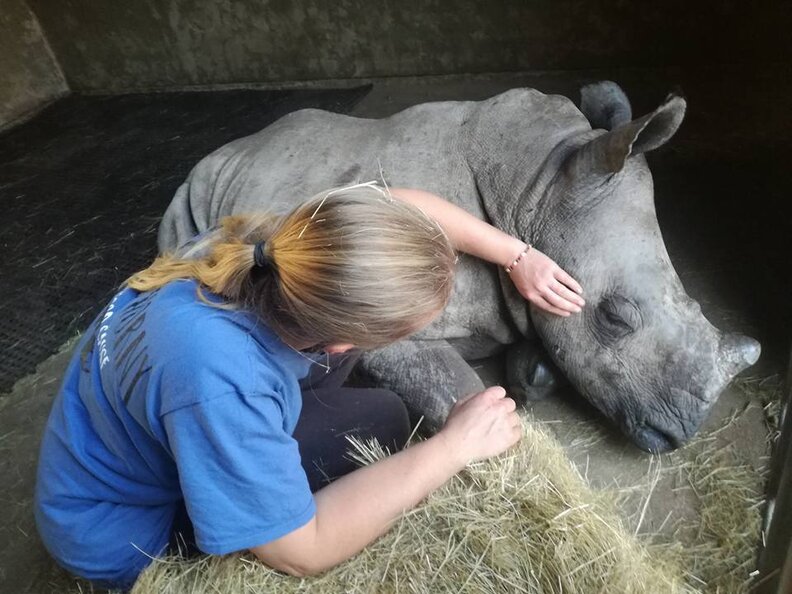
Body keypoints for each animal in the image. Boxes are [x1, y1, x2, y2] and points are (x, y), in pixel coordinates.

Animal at [158, 81, 760, 453]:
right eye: (614, 318)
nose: (679, 434)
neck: (534, 188)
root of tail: (236, 146)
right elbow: (450, 386)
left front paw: (533, 370)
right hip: (188, 194)